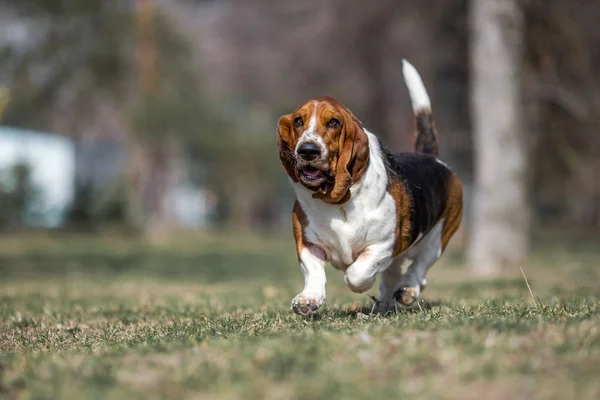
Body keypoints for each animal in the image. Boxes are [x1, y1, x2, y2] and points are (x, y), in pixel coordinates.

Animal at [276, 60, 464, 316]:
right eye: (298, 121)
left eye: (333, 123)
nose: (307, 150)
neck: (336, 202)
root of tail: (431, 157)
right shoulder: (308, 244)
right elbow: (314, 271)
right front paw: (308, 299)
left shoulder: (382, 245)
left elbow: (356, 273)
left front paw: (361, 283)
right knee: (393, 273)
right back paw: (385, 302)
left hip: (436, 239)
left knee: (418, 269)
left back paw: (408, 290)